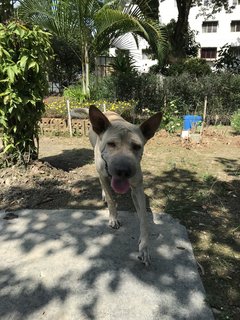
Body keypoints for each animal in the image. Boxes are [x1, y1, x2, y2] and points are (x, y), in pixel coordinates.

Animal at [88, 105, 163, 264]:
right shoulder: (104, 175)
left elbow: (144, 219)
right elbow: (111, 199)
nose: (123, 171)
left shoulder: (137, 188)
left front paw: (144, 246)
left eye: (136, 146)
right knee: (104, 184)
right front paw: (113, 218)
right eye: (111, 144)